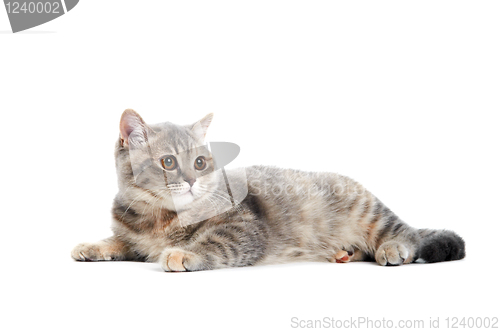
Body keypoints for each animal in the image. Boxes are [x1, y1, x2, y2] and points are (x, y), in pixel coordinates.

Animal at [72, 110, 466, 272]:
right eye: (168, 162)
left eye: (200, 162)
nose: (193, 180)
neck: (158, 219)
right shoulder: (132, 235)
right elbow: (118, 240)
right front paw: (92, 246)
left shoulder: (244, 226)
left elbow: (214, 242)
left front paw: (184, 253)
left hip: (369, 211)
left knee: (406, 232)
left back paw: (393, 248)